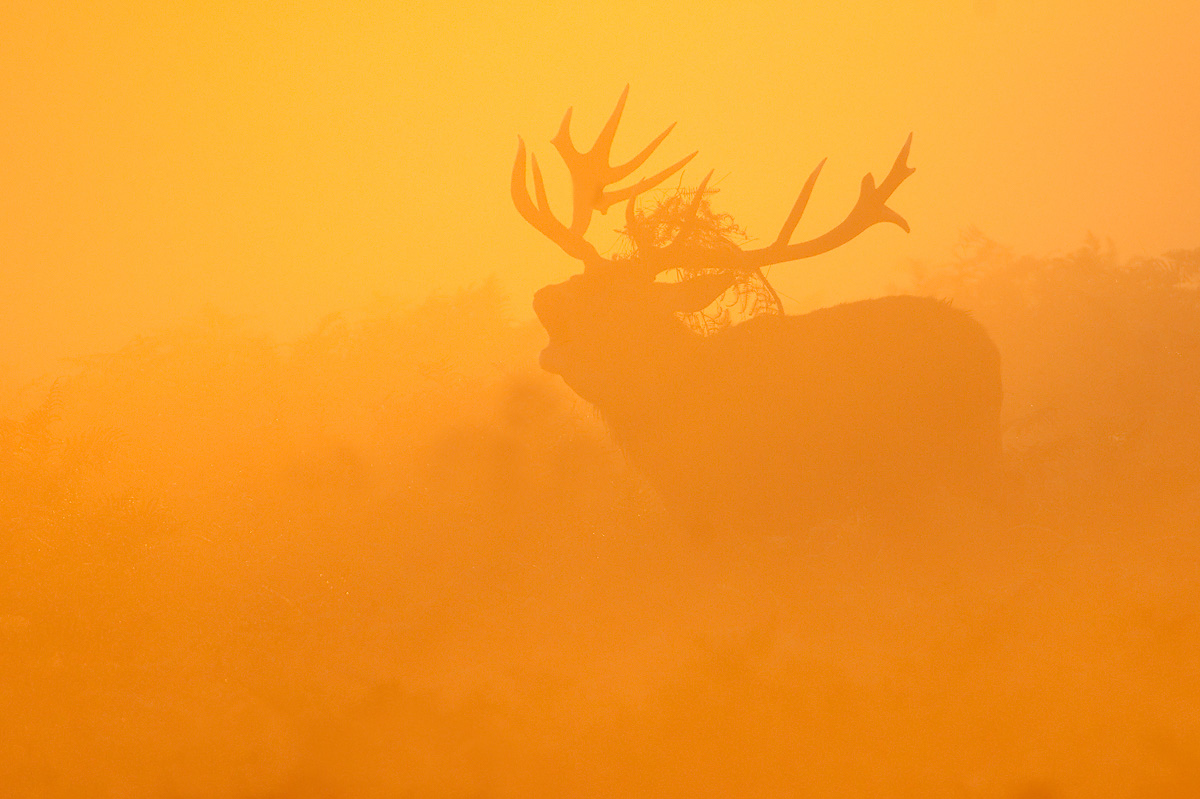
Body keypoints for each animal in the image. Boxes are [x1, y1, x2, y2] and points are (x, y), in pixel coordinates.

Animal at [512, 88, 1002, 531]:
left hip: (956, 463)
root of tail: (986, 346)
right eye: (579, 280)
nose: (542, 297)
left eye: (621, 300)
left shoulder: (758, 506)